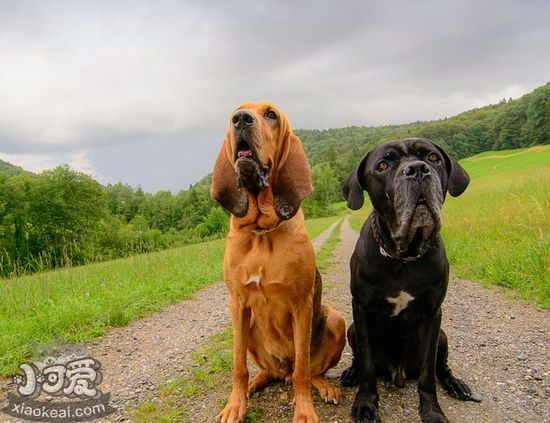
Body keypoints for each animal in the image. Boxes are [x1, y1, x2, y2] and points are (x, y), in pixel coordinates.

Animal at [213, 102, 348, 423]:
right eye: (236, 112)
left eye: (271, 115)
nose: (240, 119)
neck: (263, 231)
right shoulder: (237, 304)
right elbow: (238, 366)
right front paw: (235, 405)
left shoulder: (301, 305)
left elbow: (303, 369)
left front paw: (304, 411)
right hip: (249, 328)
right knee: (265, 371)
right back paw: (253, 386)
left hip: (336, 319)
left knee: (307, 372)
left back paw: (324, 387)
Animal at [342, 139, 480, 423]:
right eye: (383, 165)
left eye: (433, 157)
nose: (417, 169)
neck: (403, 257)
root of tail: (399, 373)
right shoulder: (361, 309)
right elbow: (367, 366)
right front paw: (366, 404)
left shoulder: (432, 314)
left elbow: (428, 373)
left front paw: (432, 411)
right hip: (351, 329)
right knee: (358, 359)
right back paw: (350, 373)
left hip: (442, 336)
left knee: (441, 367)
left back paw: (455, 384)